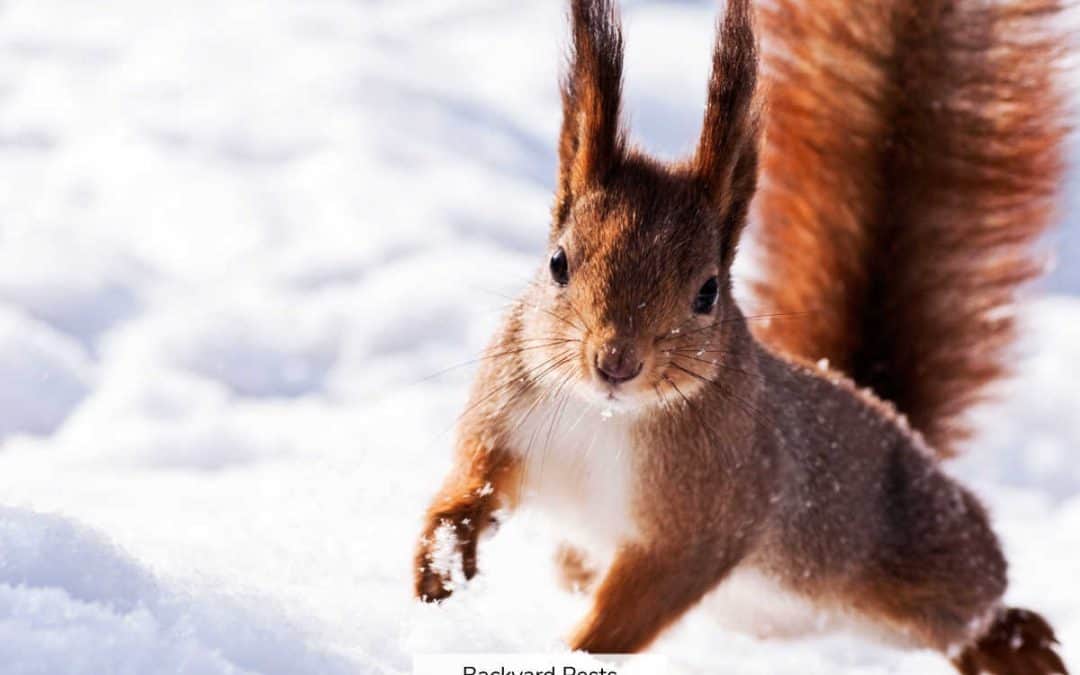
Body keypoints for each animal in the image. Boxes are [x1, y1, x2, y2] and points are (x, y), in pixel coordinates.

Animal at [413, 0, 1069, 672]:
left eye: (707, 292)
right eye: (558, 263)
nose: (616, 362)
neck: (606, 417)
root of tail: (900, 424)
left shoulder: (707, 522)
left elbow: (635, 606)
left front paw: (576, 650)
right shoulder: (504, 424)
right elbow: (471, 486)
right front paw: (440, 566)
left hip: (923, 561)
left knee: (980, 604)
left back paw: (1018, 645)